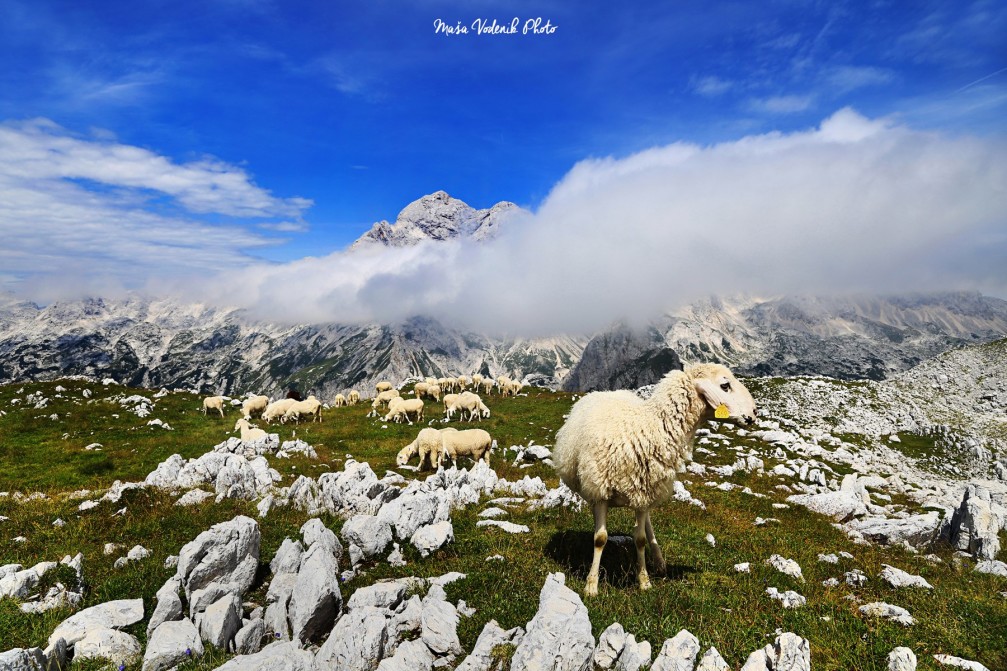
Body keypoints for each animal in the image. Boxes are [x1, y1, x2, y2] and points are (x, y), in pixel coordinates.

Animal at [551, 362, 757, 592]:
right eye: (725, 385)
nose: (754, 412)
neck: (649, 428)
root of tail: (607, 392)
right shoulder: (601, 491)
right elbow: (600, 538)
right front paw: (591, 586)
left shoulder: (643, 493)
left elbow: (640, 538)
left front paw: (644, 581)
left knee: (648, 524)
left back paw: (659, 561)